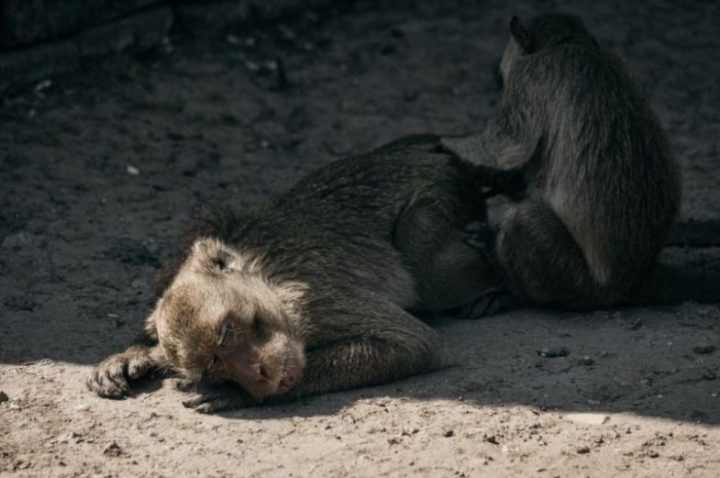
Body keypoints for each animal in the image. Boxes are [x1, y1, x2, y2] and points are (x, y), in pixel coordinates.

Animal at [86, 136, 500, 412]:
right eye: (215, 364)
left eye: (226, 332)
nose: (257, 375)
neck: (266, 280)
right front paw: (133, 355)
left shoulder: (311, 301)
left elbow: (415, 344)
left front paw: (235, 395)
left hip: (441, 192)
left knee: (427, 262)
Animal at [442, 13, 684, 314]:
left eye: (501, 79)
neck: (567, 44)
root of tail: (627, 286)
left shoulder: (531, 77)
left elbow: (508, 143)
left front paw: (444, 146)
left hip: (575, 280)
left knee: (524, 220)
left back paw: (507, 278)